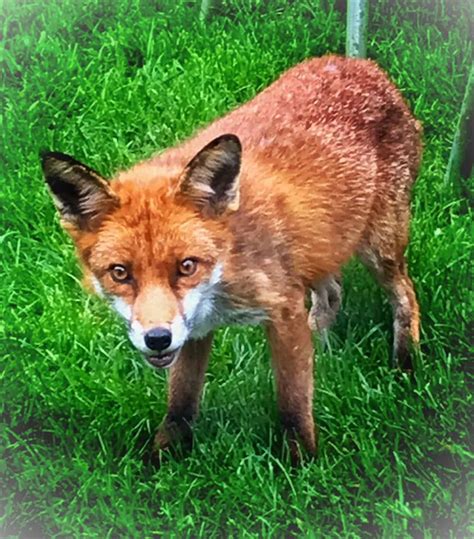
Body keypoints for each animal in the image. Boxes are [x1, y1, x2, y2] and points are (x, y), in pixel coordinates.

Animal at [40, 57, 422, 466]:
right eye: (120, 273)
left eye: (187, 266)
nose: (157, 339)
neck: (224, 274)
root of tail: (359, 63)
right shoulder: (195, 332)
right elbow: (181, 404)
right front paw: (161, 462)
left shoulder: (284, 309)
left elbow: (293, 401)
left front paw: (301, 464)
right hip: (322, 246)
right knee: (331, 296)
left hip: (379, 247)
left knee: (405, 296)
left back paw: (406, 365)